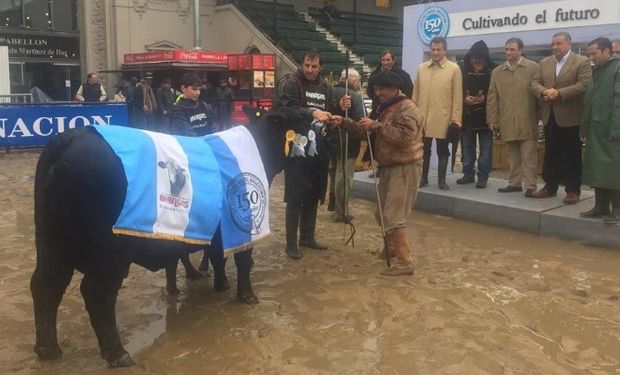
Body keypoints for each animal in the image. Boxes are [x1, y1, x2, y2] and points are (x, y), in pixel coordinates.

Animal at [30, 107, 296, 368]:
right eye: (302, 120)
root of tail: (72, 136)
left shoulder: (216, 231)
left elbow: (217, 257)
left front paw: (221, 285)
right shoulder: (243, 224)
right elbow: (243, 260)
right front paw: (247, 296)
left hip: (52, 242)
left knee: (45, 284)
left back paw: (48, 349)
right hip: (108, 253)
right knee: (97, 293)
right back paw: (117, 354)